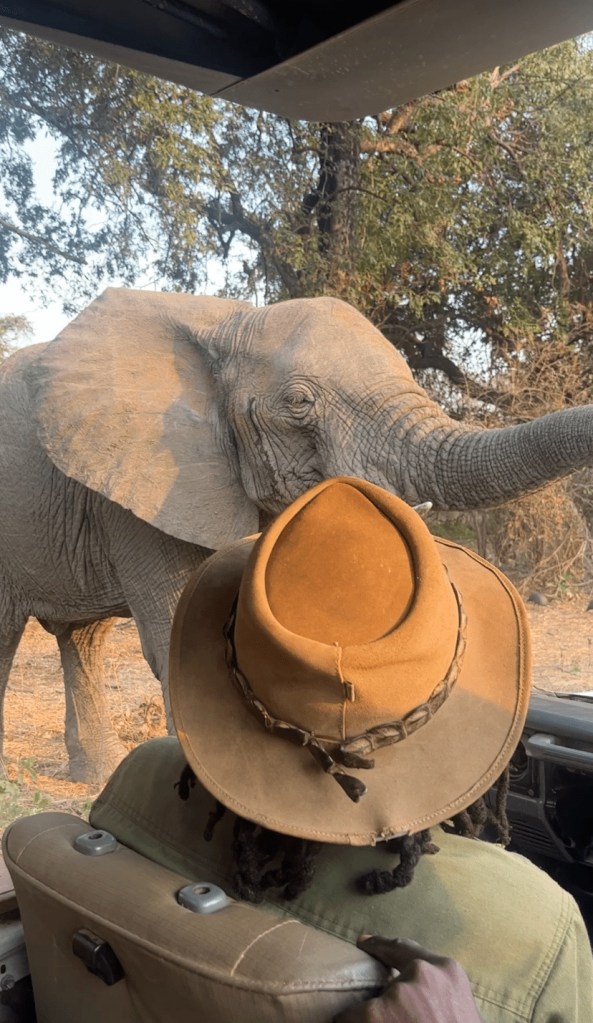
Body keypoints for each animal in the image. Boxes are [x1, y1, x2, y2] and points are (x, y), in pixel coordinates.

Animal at [1, 286, 592, 784]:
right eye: (299, 403)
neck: (227, 323)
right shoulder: (149, 480)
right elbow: (182, 636)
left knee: (82, 639)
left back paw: (94, 779)